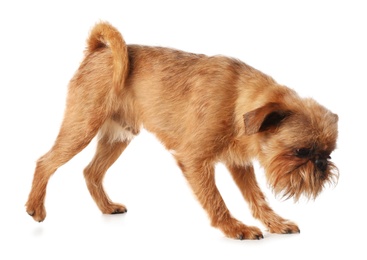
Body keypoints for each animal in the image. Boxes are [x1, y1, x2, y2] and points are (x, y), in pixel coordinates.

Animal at [25, 22, 340, 240]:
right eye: (300, 151)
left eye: (328, 153)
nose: (321, 165)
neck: (238, 99)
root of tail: (99, 51)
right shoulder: (195, 160)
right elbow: (216, 198)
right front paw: (233, 227)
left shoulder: (239, 164)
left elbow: (256, 197)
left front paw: (275, 223)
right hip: (82, 127)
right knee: (45, 161)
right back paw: (35, 208)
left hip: (118, 137)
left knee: (91, 172)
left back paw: (107, 207)